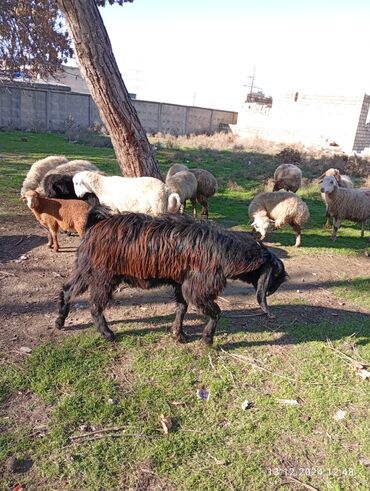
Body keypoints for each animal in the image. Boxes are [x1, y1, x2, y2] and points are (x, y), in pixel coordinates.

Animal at [55, 209, 286, 344]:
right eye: (276, 273)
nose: (274, 289)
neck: (225, 250)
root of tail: (94, 226)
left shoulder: (180, 283)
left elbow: (181, 308)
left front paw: (178, 334)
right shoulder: (197, 289)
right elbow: (216, 312)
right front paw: (207, 339)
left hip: (86, 270)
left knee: (67, 290)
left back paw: (59, 321)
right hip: (103, 276)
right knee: (95, 305)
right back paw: (107, 334)